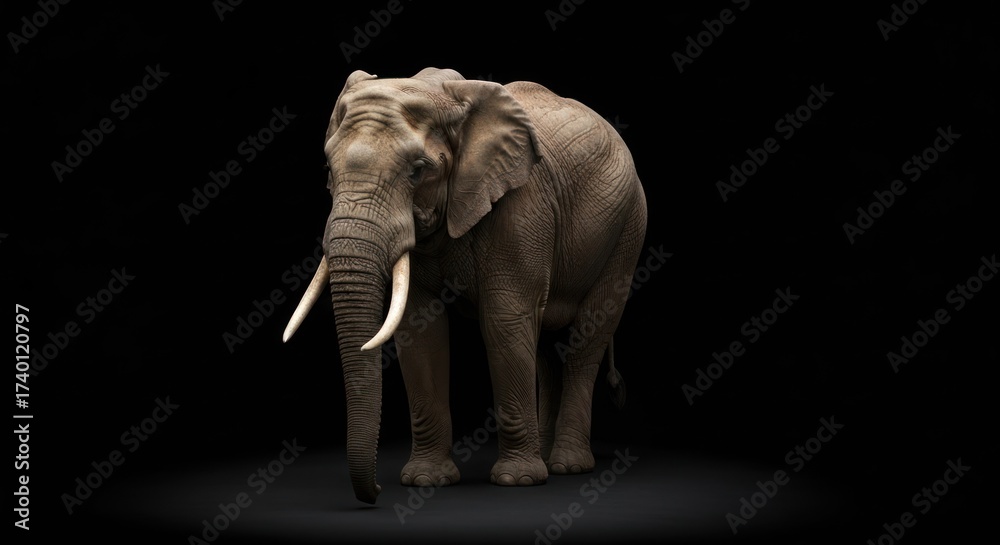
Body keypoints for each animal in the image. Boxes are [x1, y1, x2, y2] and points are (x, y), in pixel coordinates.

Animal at [283, 67, 647, 504]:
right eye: (327, 170)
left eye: (418, 170)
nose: (377, 492)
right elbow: (419, 334)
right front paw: (425, 480)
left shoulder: (522, 207)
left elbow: (504, 321)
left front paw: (518, 481)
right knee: (544, 345)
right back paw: (546, 456)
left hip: (628, 227)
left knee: (585, 339)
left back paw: (566, 466)